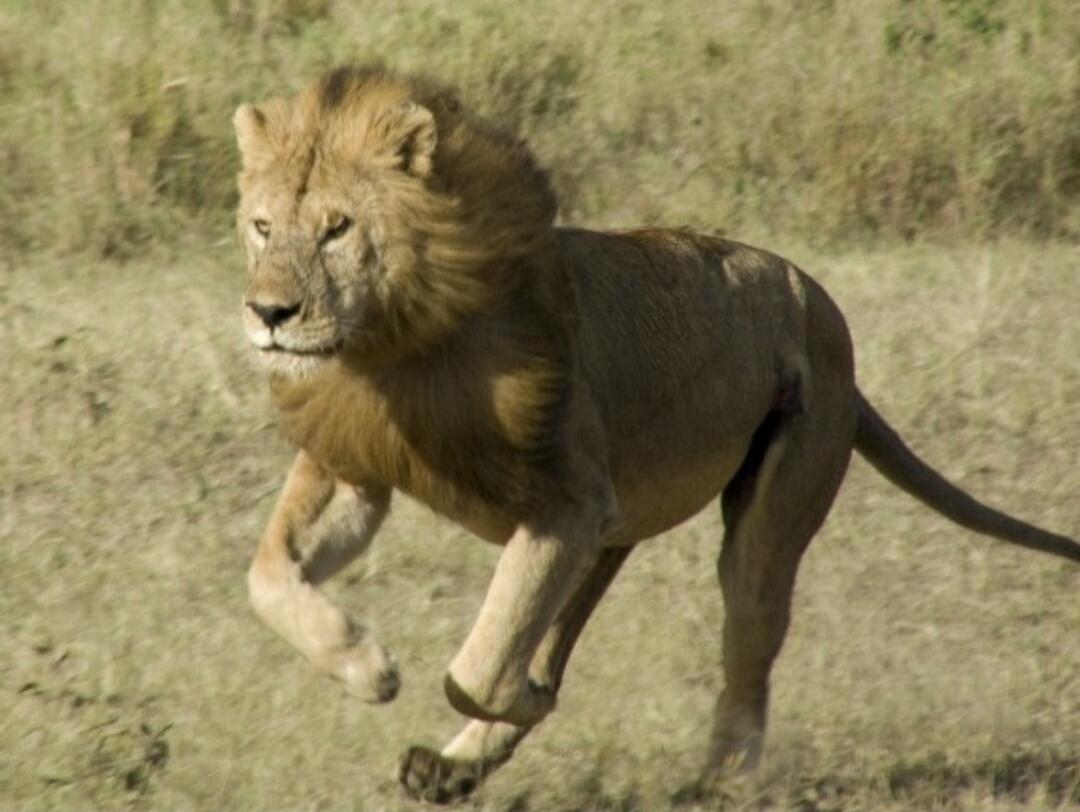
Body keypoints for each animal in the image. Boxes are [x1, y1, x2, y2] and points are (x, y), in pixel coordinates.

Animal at [232, 65, 1079, 803]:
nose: (269, 313)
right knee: (553, 637)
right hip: (611, 532)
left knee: (746, 647)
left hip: (763, 515)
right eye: (263, 227)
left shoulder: (567, 502)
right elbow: (268, 576)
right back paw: (453, 768)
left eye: (338, 229)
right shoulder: (358, 467)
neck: (393, 341)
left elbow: (476, 667)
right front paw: (365, 665)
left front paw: (502, 696)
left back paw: (724, 780)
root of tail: (822, 309)